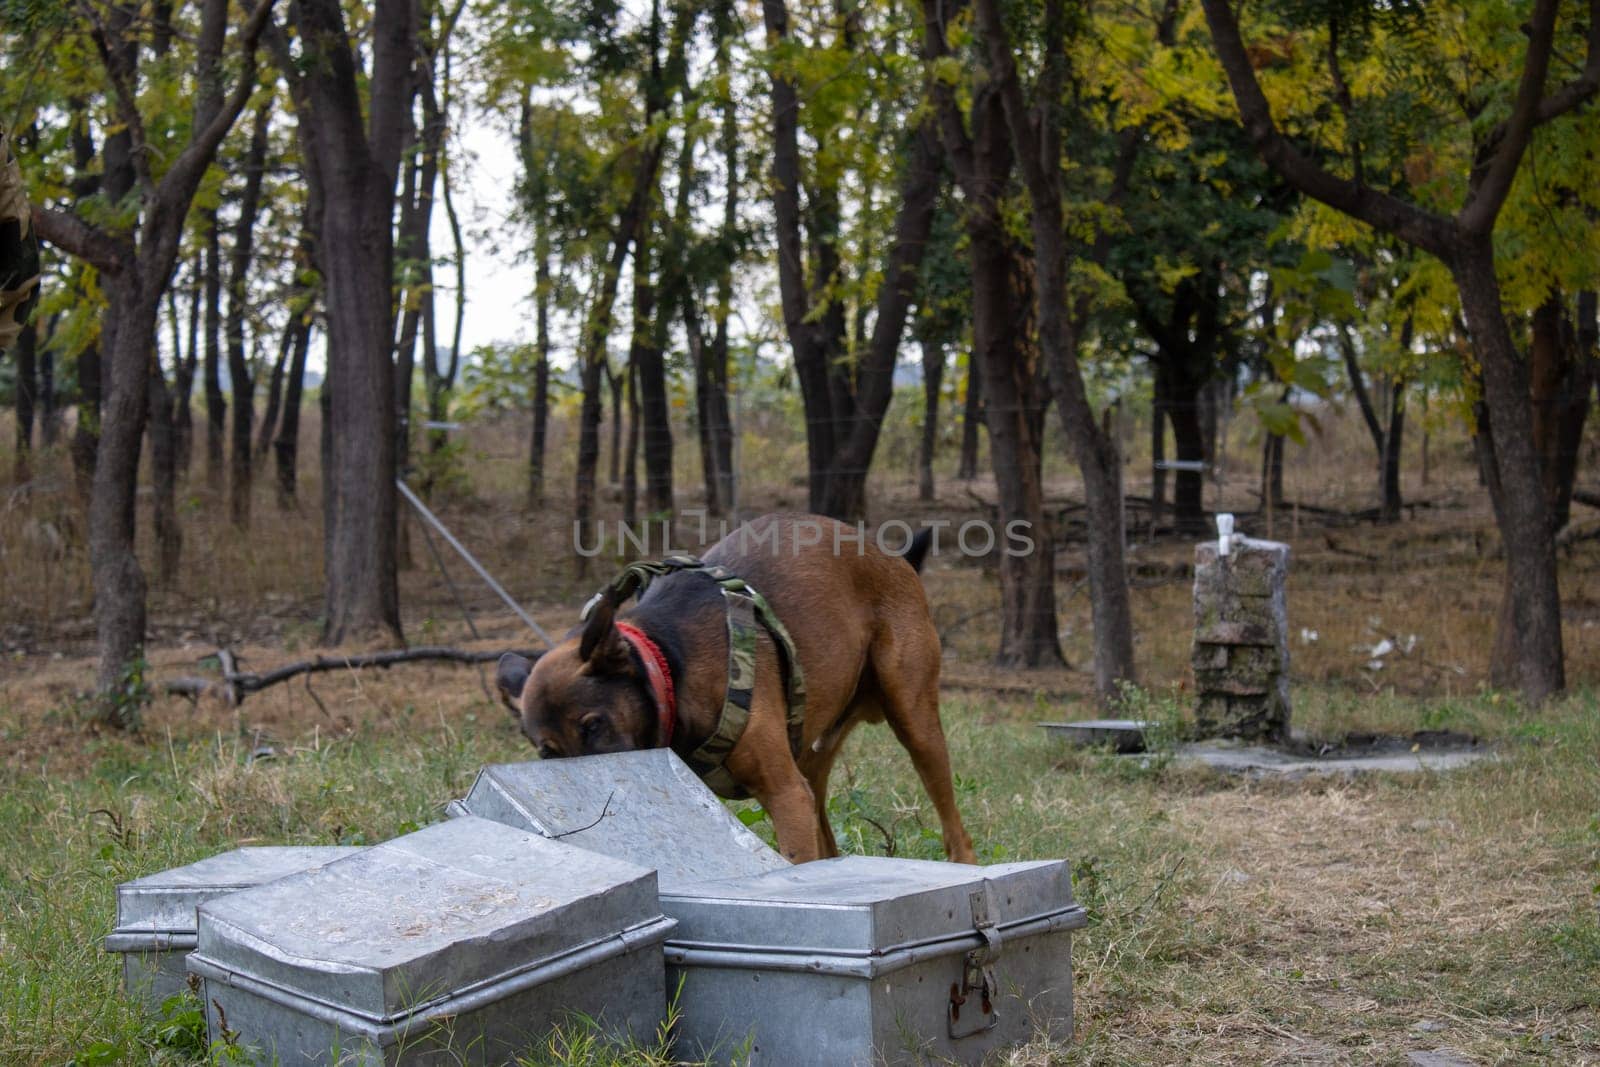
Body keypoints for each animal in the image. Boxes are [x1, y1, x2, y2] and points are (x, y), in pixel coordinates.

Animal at [496, 511, 972, 870]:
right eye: (547, 754)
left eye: (593, 725)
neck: (670, 666)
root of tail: (890, 557)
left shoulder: (785, 795)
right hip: (812, 758)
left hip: (913, 720)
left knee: (956, 834)